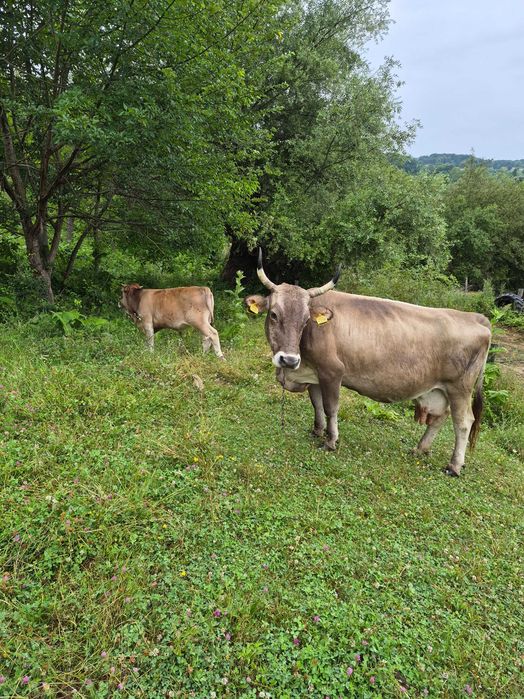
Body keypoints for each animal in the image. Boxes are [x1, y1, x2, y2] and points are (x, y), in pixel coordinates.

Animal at [246, 250, 491, 476]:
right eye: (274, 314)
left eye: (306, 320)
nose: (289, 360)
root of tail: (476, 317)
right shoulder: (313, 373)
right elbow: (316, 404)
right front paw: (317, 431)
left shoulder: (332, 372)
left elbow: (330, 407)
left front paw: (330, 441)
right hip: (441, 389)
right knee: (441, 417)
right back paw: (420, 449)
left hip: (460, 388)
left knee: (463, 422)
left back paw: (454, 466)